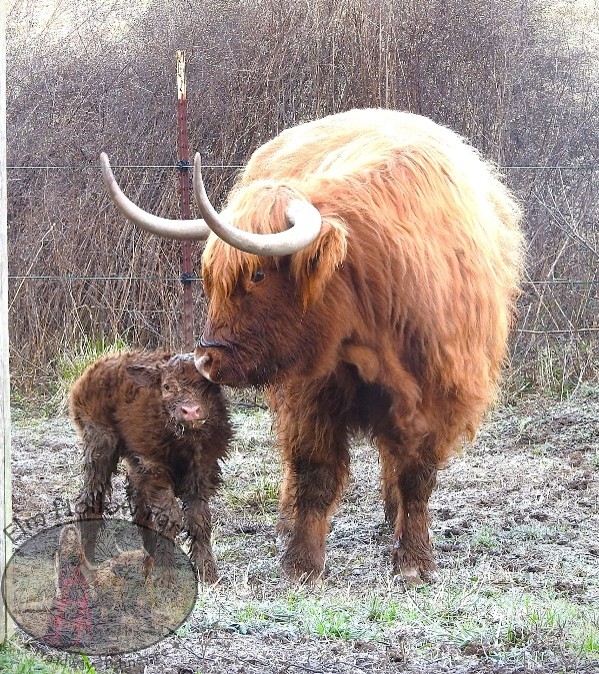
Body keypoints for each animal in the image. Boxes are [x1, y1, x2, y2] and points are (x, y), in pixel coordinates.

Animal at [71, 350, 232, 584]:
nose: (191, 411)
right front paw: (166, 576)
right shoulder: (154, 468)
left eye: (206, 384)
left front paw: (208, 574)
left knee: (138, 506)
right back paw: (88, 563)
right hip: (99, 444)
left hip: (133, 464)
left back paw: (146, 564)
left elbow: (199, 521)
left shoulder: (202, 472)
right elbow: (170, 519)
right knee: (89, 500)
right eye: (167, 386)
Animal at [101, 108, 525, 583]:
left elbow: (416, 477)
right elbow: (314, 473)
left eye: (258, 274)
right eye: (212, 277)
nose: (206, 359)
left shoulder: (439, 398)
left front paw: (414, 559)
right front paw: (301, 563)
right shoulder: (312, 394)